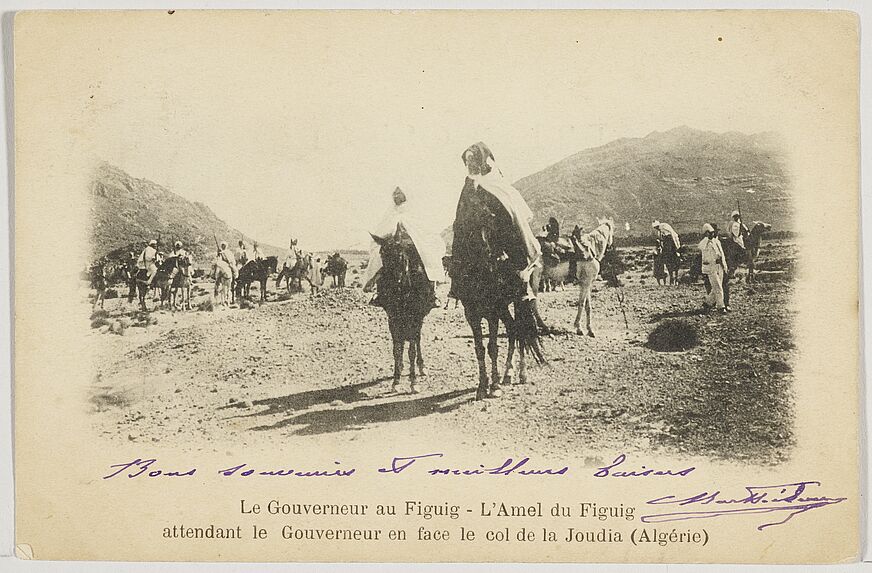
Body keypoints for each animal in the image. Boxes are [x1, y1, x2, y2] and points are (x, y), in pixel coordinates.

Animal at [370, 223, 434, 394]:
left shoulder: (416, 318)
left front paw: (413, 382)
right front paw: (396, 380)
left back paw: (421, 366)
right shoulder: (393, 318)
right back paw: (401, 366)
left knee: (416, 340)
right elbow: (397, 349)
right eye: (382, 255)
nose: (391, 284)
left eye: (399, 255)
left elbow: (411, 350)